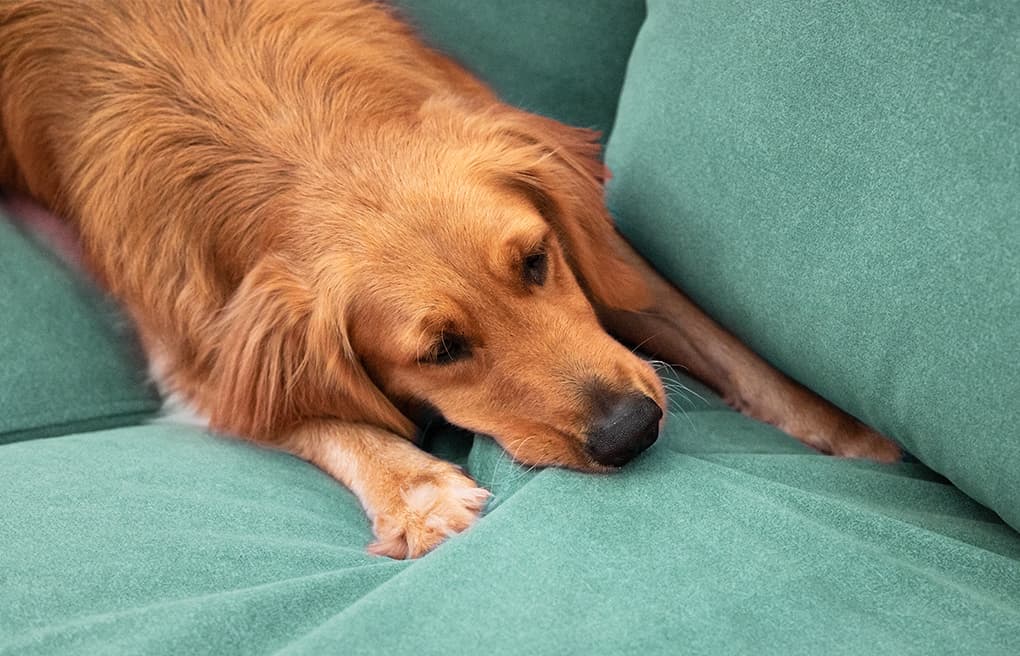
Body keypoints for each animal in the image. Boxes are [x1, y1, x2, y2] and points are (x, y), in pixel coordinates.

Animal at [0, 1, 893, 559]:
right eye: (440, 352)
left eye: (537, 261)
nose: (631, 432)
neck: (290, 138)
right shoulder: (196, 363)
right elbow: (317, 417)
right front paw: (417, 491)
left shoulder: (602, 253)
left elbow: (727, 348)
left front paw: (855, 437)